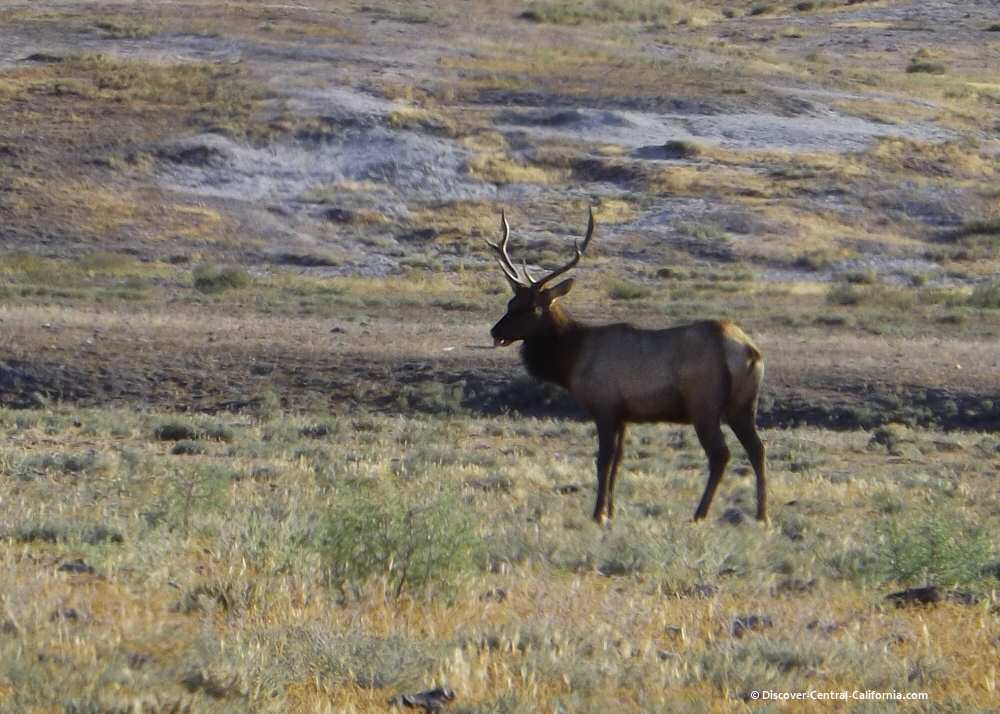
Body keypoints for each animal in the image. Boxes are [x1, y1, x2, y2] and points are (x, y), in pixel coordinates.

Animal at [487, 208, 767, 525]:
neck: (572, 359)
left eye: (531, 308)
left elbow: (603, 460)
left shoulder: (605, 407)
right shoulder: (624, 414)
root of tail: (748, 350)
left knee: (721, 454)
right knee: (757, 448)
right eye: (510, 303)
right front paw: (610, 510)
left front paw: (598, 513)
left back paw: (700, 514)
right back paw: (762, 514)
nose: (495, 331)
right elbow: (618, 462)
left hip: (704, 404)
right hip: (743, 405)